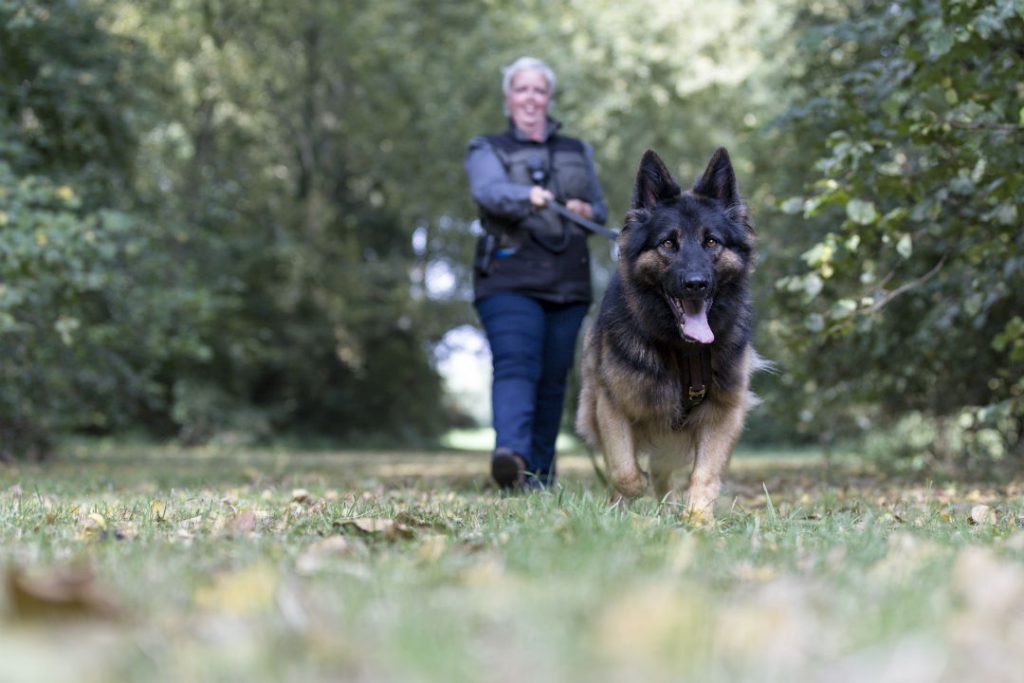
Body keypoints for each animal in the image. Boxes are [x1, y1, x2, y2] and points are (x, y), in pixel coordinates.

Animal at [577, 148, 761, 518]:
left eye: (711, 242)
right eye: (667, 243)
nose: (695, 284)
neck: (685, 351)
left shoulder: (724, 410)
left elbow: (704, 475)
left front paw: (698, 520)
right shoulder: (611, 404)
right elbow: (625, 472)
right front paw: (626, 499)